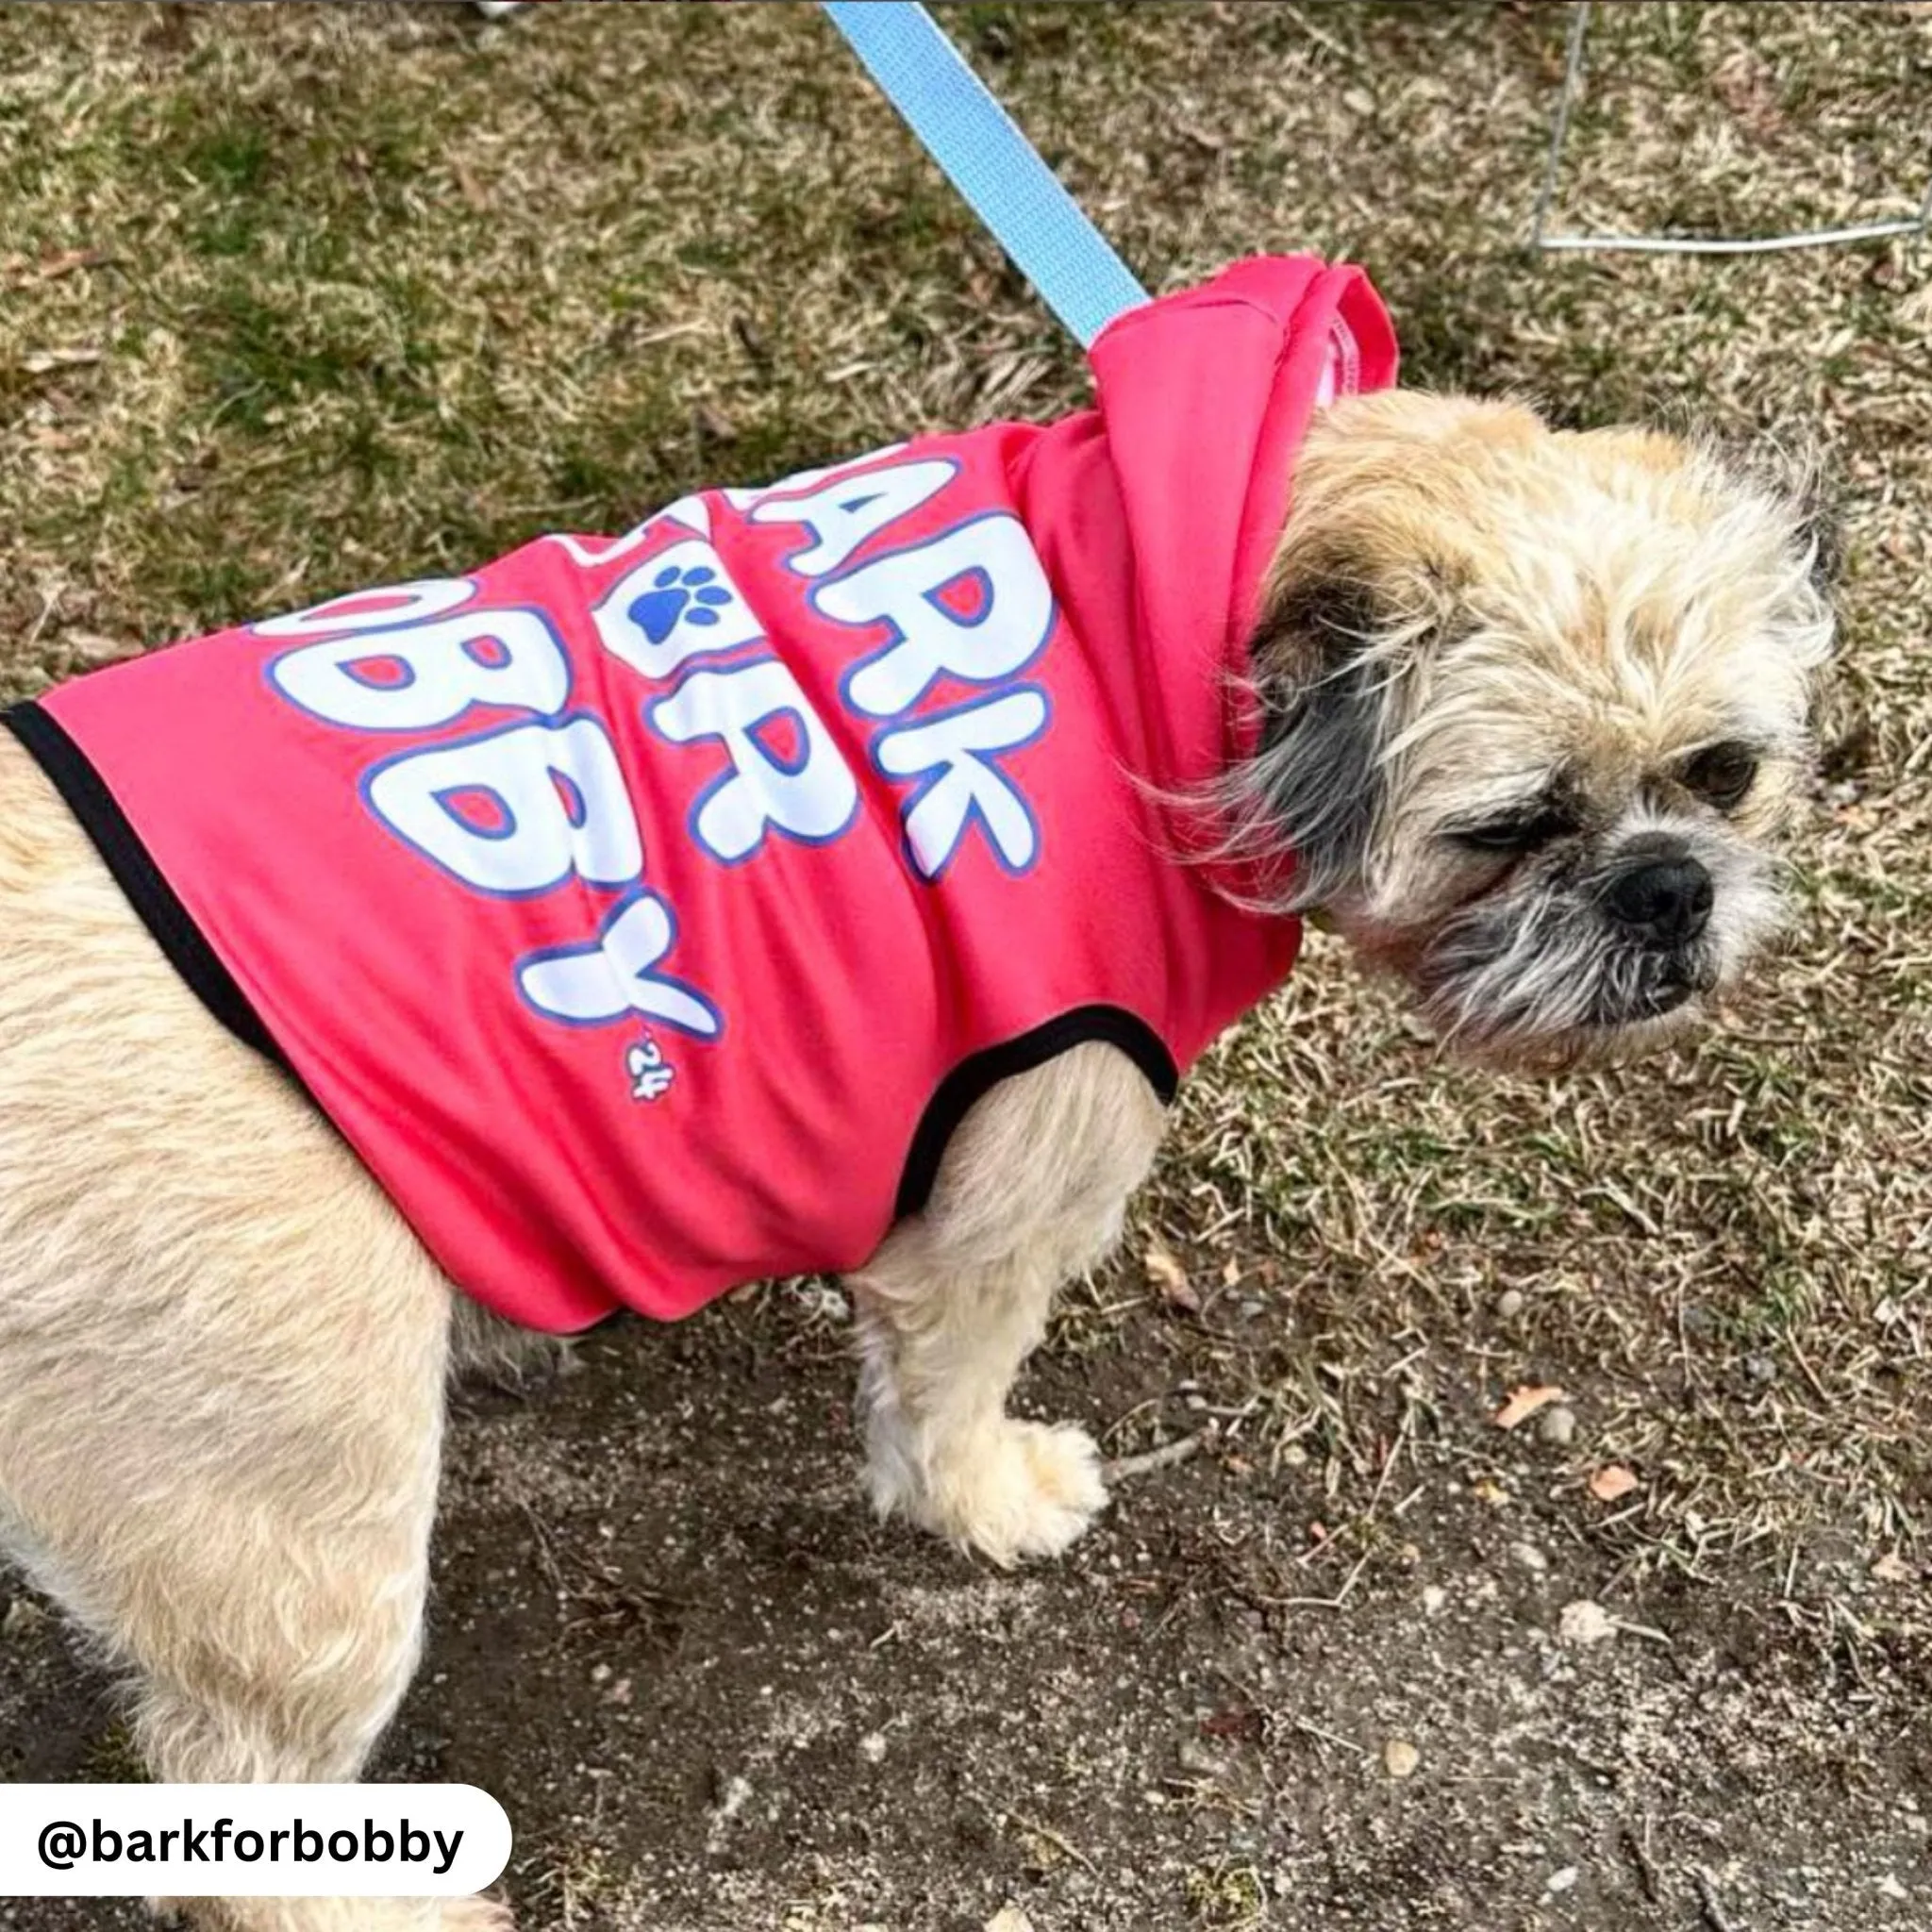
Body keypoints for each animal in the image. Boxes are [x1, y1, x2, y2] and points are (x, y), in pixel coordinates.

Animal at [0, 260, 1824, 1932]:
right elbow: (951, 1389)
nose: (1667, 890)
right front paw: (990, 1499)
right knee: (243, 1806)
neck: (1160, 629)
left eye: (1723, 771)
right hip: (302, 1530)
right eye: (1508, 826)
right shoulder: (1002, 1204)